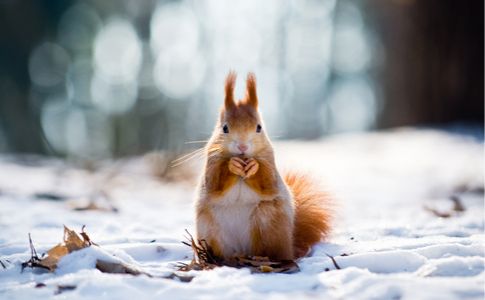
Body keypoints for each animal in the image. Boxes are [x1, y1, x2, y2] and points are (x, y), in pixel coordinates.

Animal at [193, 71, 332, 262]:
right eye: (225, 128)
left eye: (259, 127)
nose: (242, 147)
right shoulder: (211, 162)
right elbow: (214, 184)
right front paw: (231, 165)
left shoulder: (269, 162)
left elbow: (268, 184)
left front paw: (254, 167)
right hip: (209, 229)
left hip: (268, 224)